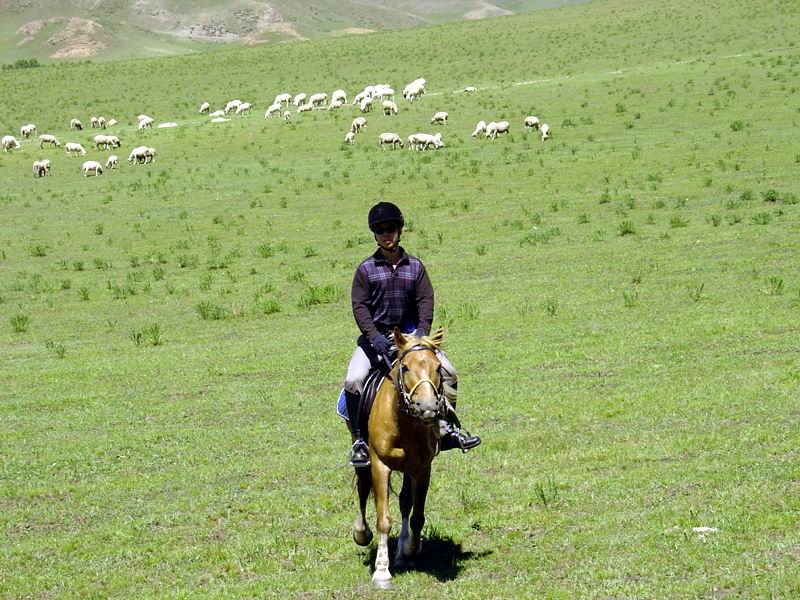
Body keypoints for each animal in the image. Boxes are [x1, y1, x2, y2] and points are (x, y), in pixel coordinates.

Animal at [352, 326, 450, 588]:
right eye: (405, 367)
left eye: (438, 367)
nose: (428, 407)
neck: (403, 423)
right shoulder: (380, 465)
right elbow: (383, 519)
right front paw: (381, 571)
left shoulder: (422, 468)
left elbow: (417, 515)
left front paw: (411, 550)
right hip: (363, 461)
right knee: (363, 489)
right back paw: (361, 533)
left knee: (405, 502)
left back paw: (401, 553)